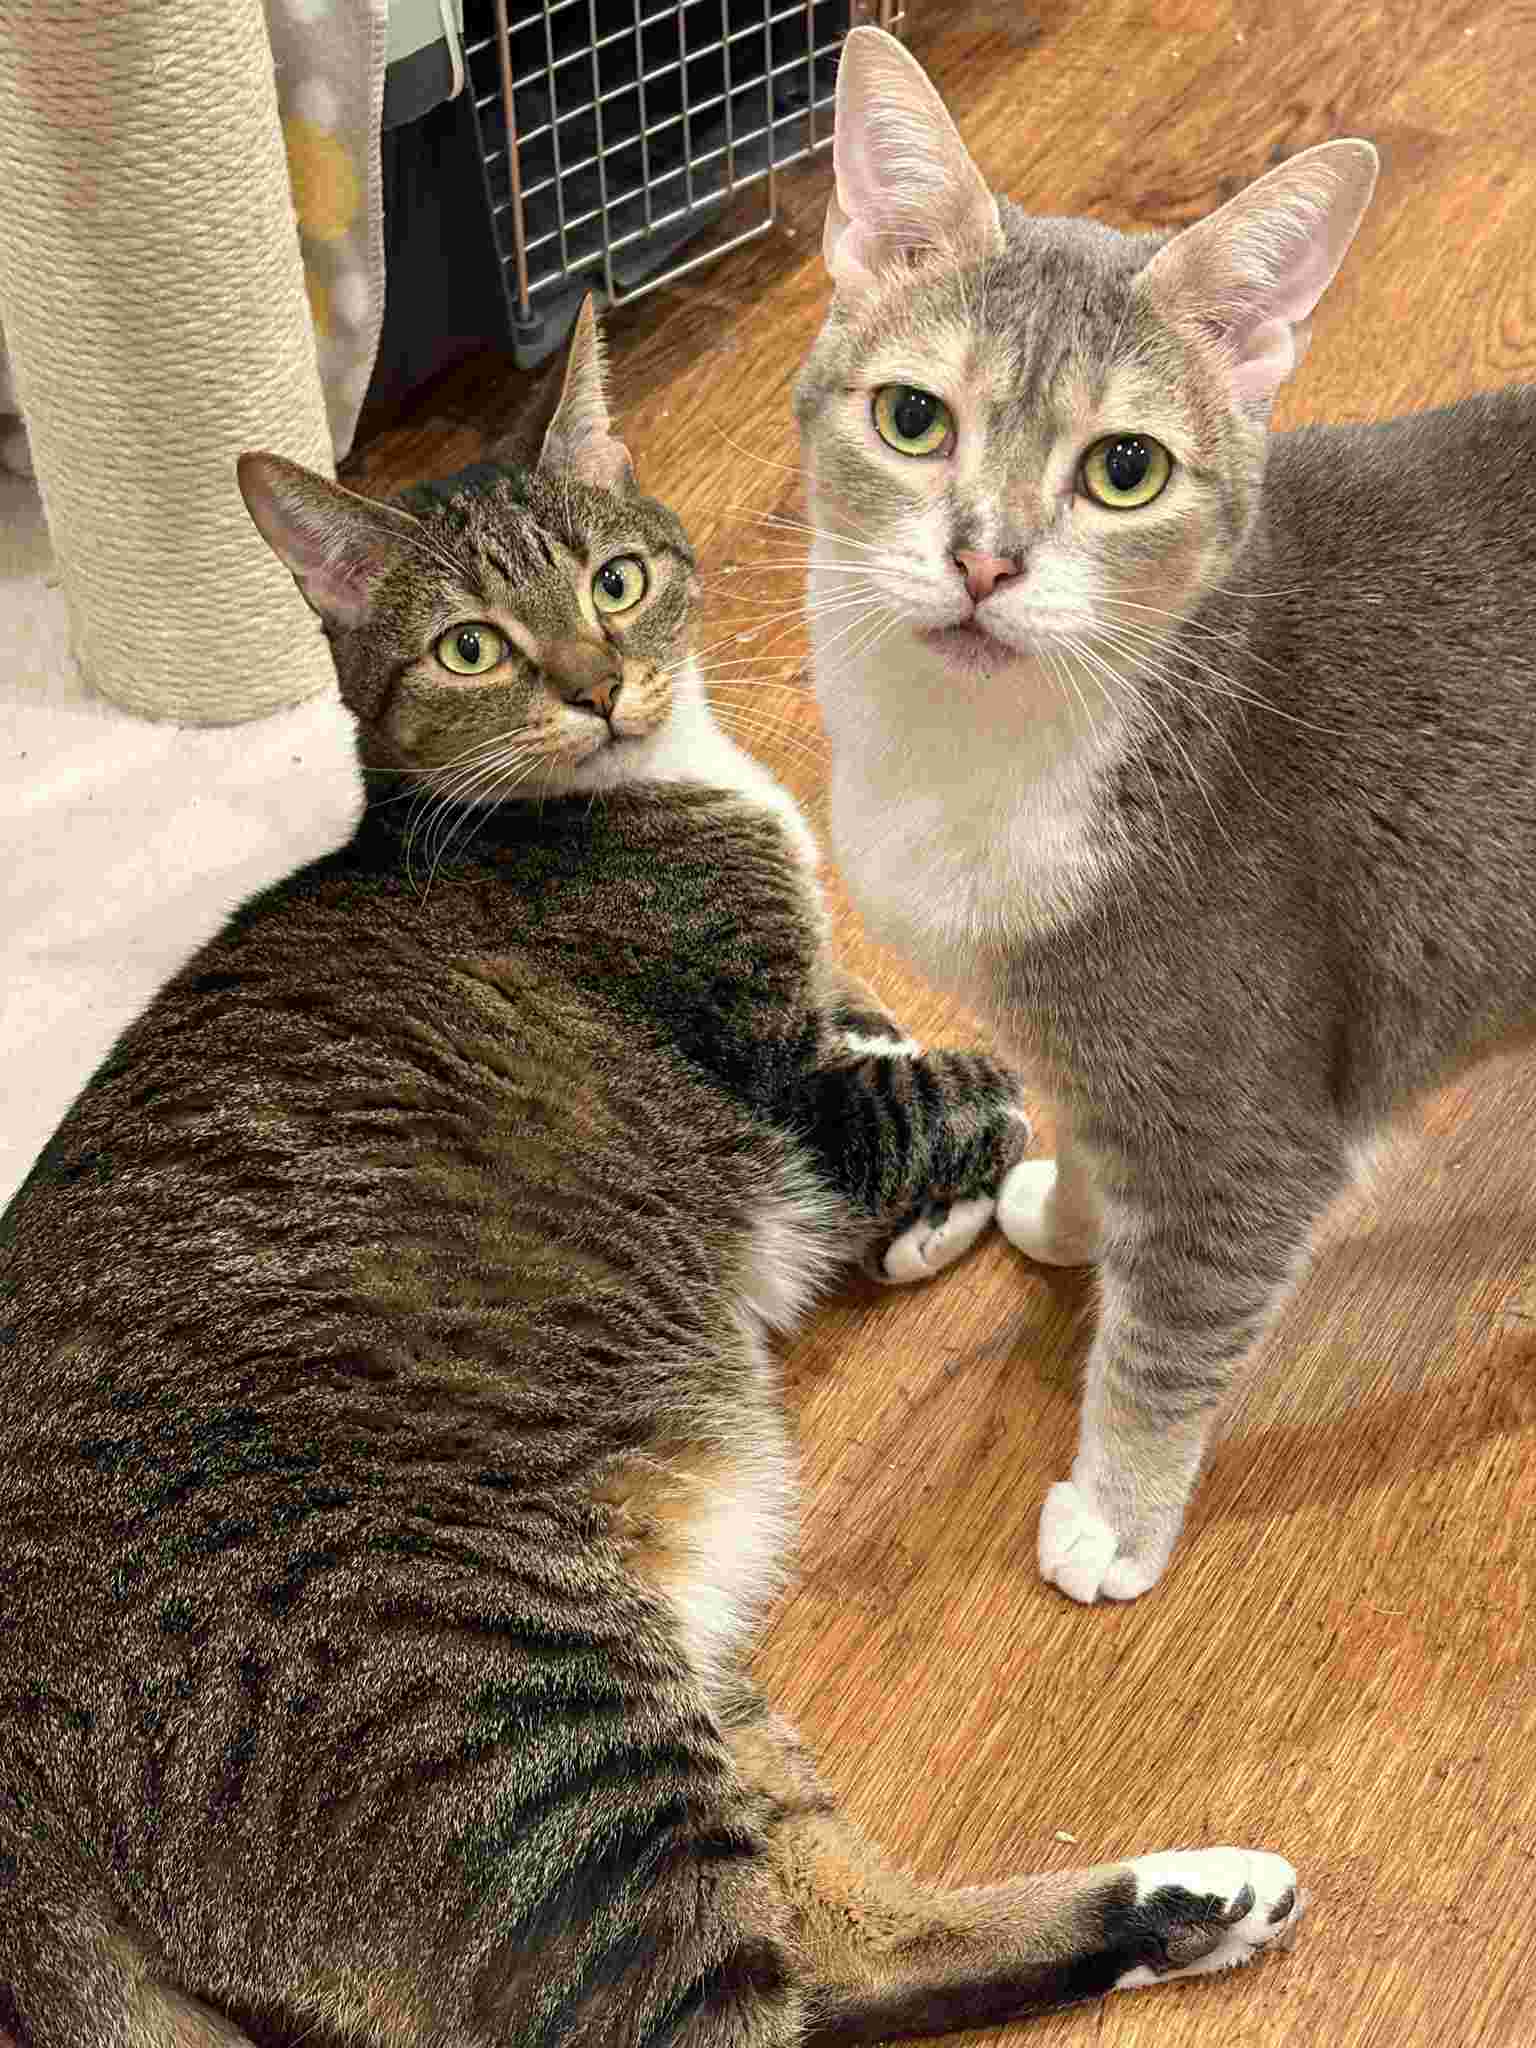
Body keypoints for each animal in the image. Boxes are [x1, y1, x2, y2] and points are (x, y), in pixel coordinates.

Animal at [0, 303, 1303, 2046]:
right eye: (473, 647)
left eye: (615, 579)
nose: (602, 686)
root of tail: (27, 1832)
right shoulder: (801, 1094)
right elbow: (974, 1079)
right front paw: (975, 1186)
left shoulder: (825, 1028)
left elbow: (888, 1020)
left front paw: (928, 1222)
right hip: (527, 1720)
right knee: (738, 2006)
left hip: (687, 1696)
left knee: (850, 1951)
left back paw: (1194, 1903)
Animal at [796, 26, 1536, 1607]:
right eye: (911, 418)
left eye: (1123, 470)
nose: (985, 560)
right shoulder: (1080, 1031)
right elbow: (1086, 1120)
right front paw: (1071, 1213)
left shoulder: (1246, 1126)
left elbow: (1174, 1322)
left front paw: (1114, 1516)